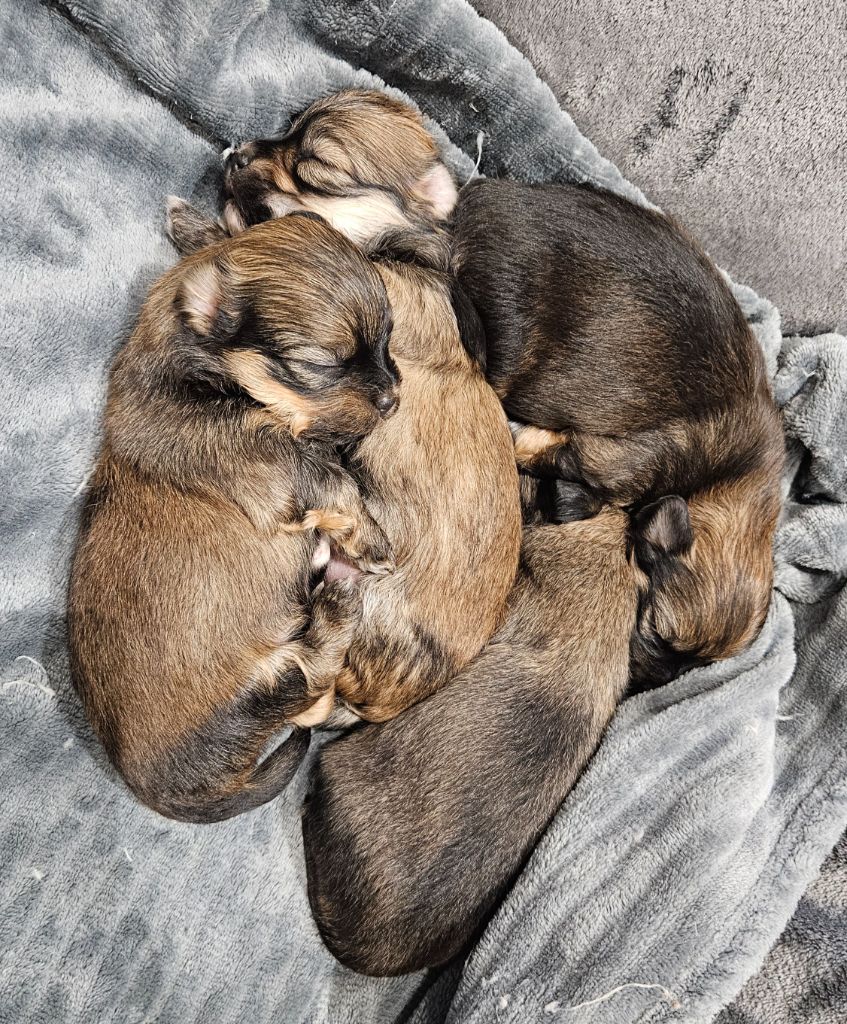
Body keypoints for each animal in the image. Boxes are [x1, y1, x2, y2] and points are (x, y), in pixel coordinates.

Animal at [68, 214, 399, 823]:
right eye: (319, 365)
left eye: (389, 339)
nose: (393, 398)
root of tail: (162, 792)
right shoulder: (271, 462)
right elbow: (332, 480)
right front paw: (372, 541)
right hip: (257, 687)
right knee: (311, 674)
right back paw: (340, 593)